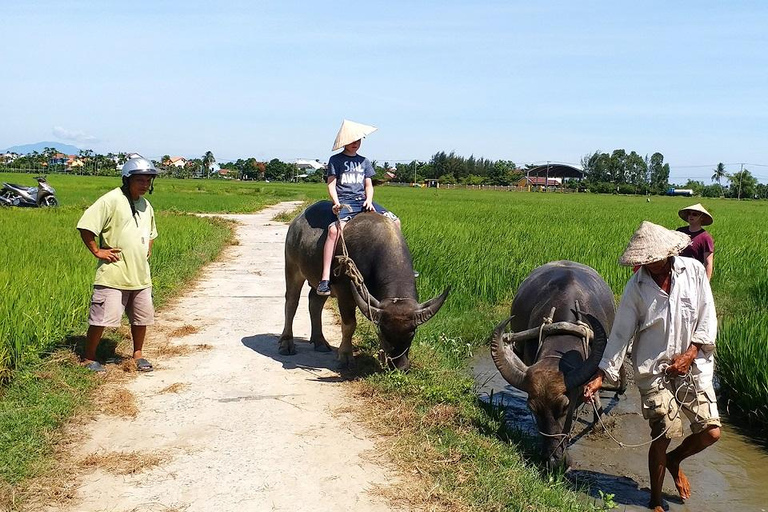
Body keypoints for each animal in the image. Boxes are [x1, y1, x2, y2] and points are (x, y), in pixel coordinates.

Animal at [280, 200, 450, 368]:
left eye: (412, 332)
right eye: (383, 332)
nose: (399, 366)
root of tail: (296, 221)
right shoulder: (344, 292)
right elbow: (349, 324)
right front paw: (345, 355)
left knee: (315, 302)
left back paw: (320, 341)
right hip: (292, 267)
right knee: (292, 302)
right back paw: (286, 343)